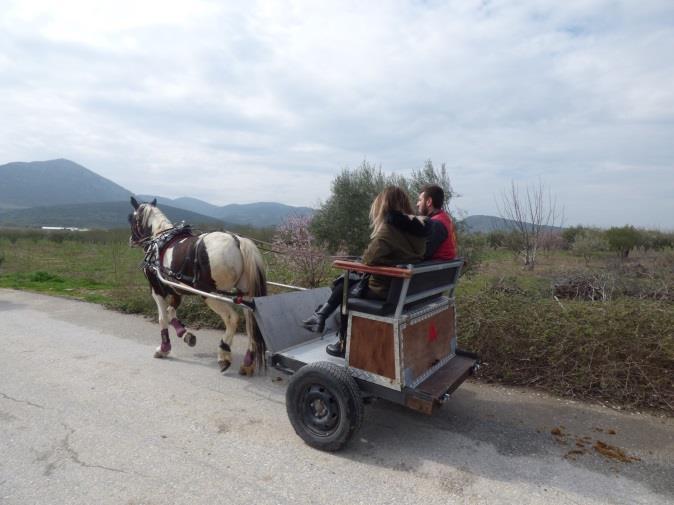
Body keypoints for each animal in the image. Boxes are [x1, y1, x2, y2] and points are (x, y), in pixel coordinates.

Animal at [126, 197, 266, 374]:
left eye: (131, 218)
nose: (131, 240)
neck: (159, 240)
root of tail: (238, 241)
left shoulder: (156, 289)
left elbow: (163, 318)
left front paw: (164, 348)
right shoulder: (176, 289)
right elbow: (171, 312)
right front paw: (185, 334)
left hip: (210, 294)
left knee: (232, 318)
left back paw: (224, 353)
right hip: (246, 293)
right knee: (251, 322)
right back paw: (248, 362)